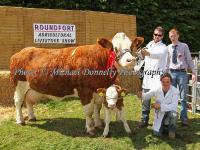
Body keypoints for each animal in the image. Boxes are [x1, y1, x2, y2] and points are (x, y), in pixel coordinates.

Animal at [9, 31, 144, 135]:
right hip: (19, 83)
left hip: (32, 88)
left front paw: (98, 124)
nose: (130, 60)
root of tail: (21, 52)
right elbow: (89, 111)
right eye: (114, 48)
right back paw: (20, 120)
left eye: (131, 47)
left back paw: (32, 117)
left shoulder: (98, 90)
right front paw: (90, 129)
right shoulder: (85, 90)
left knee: (28, 101)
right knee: (18, 101)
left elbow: (98, 107)